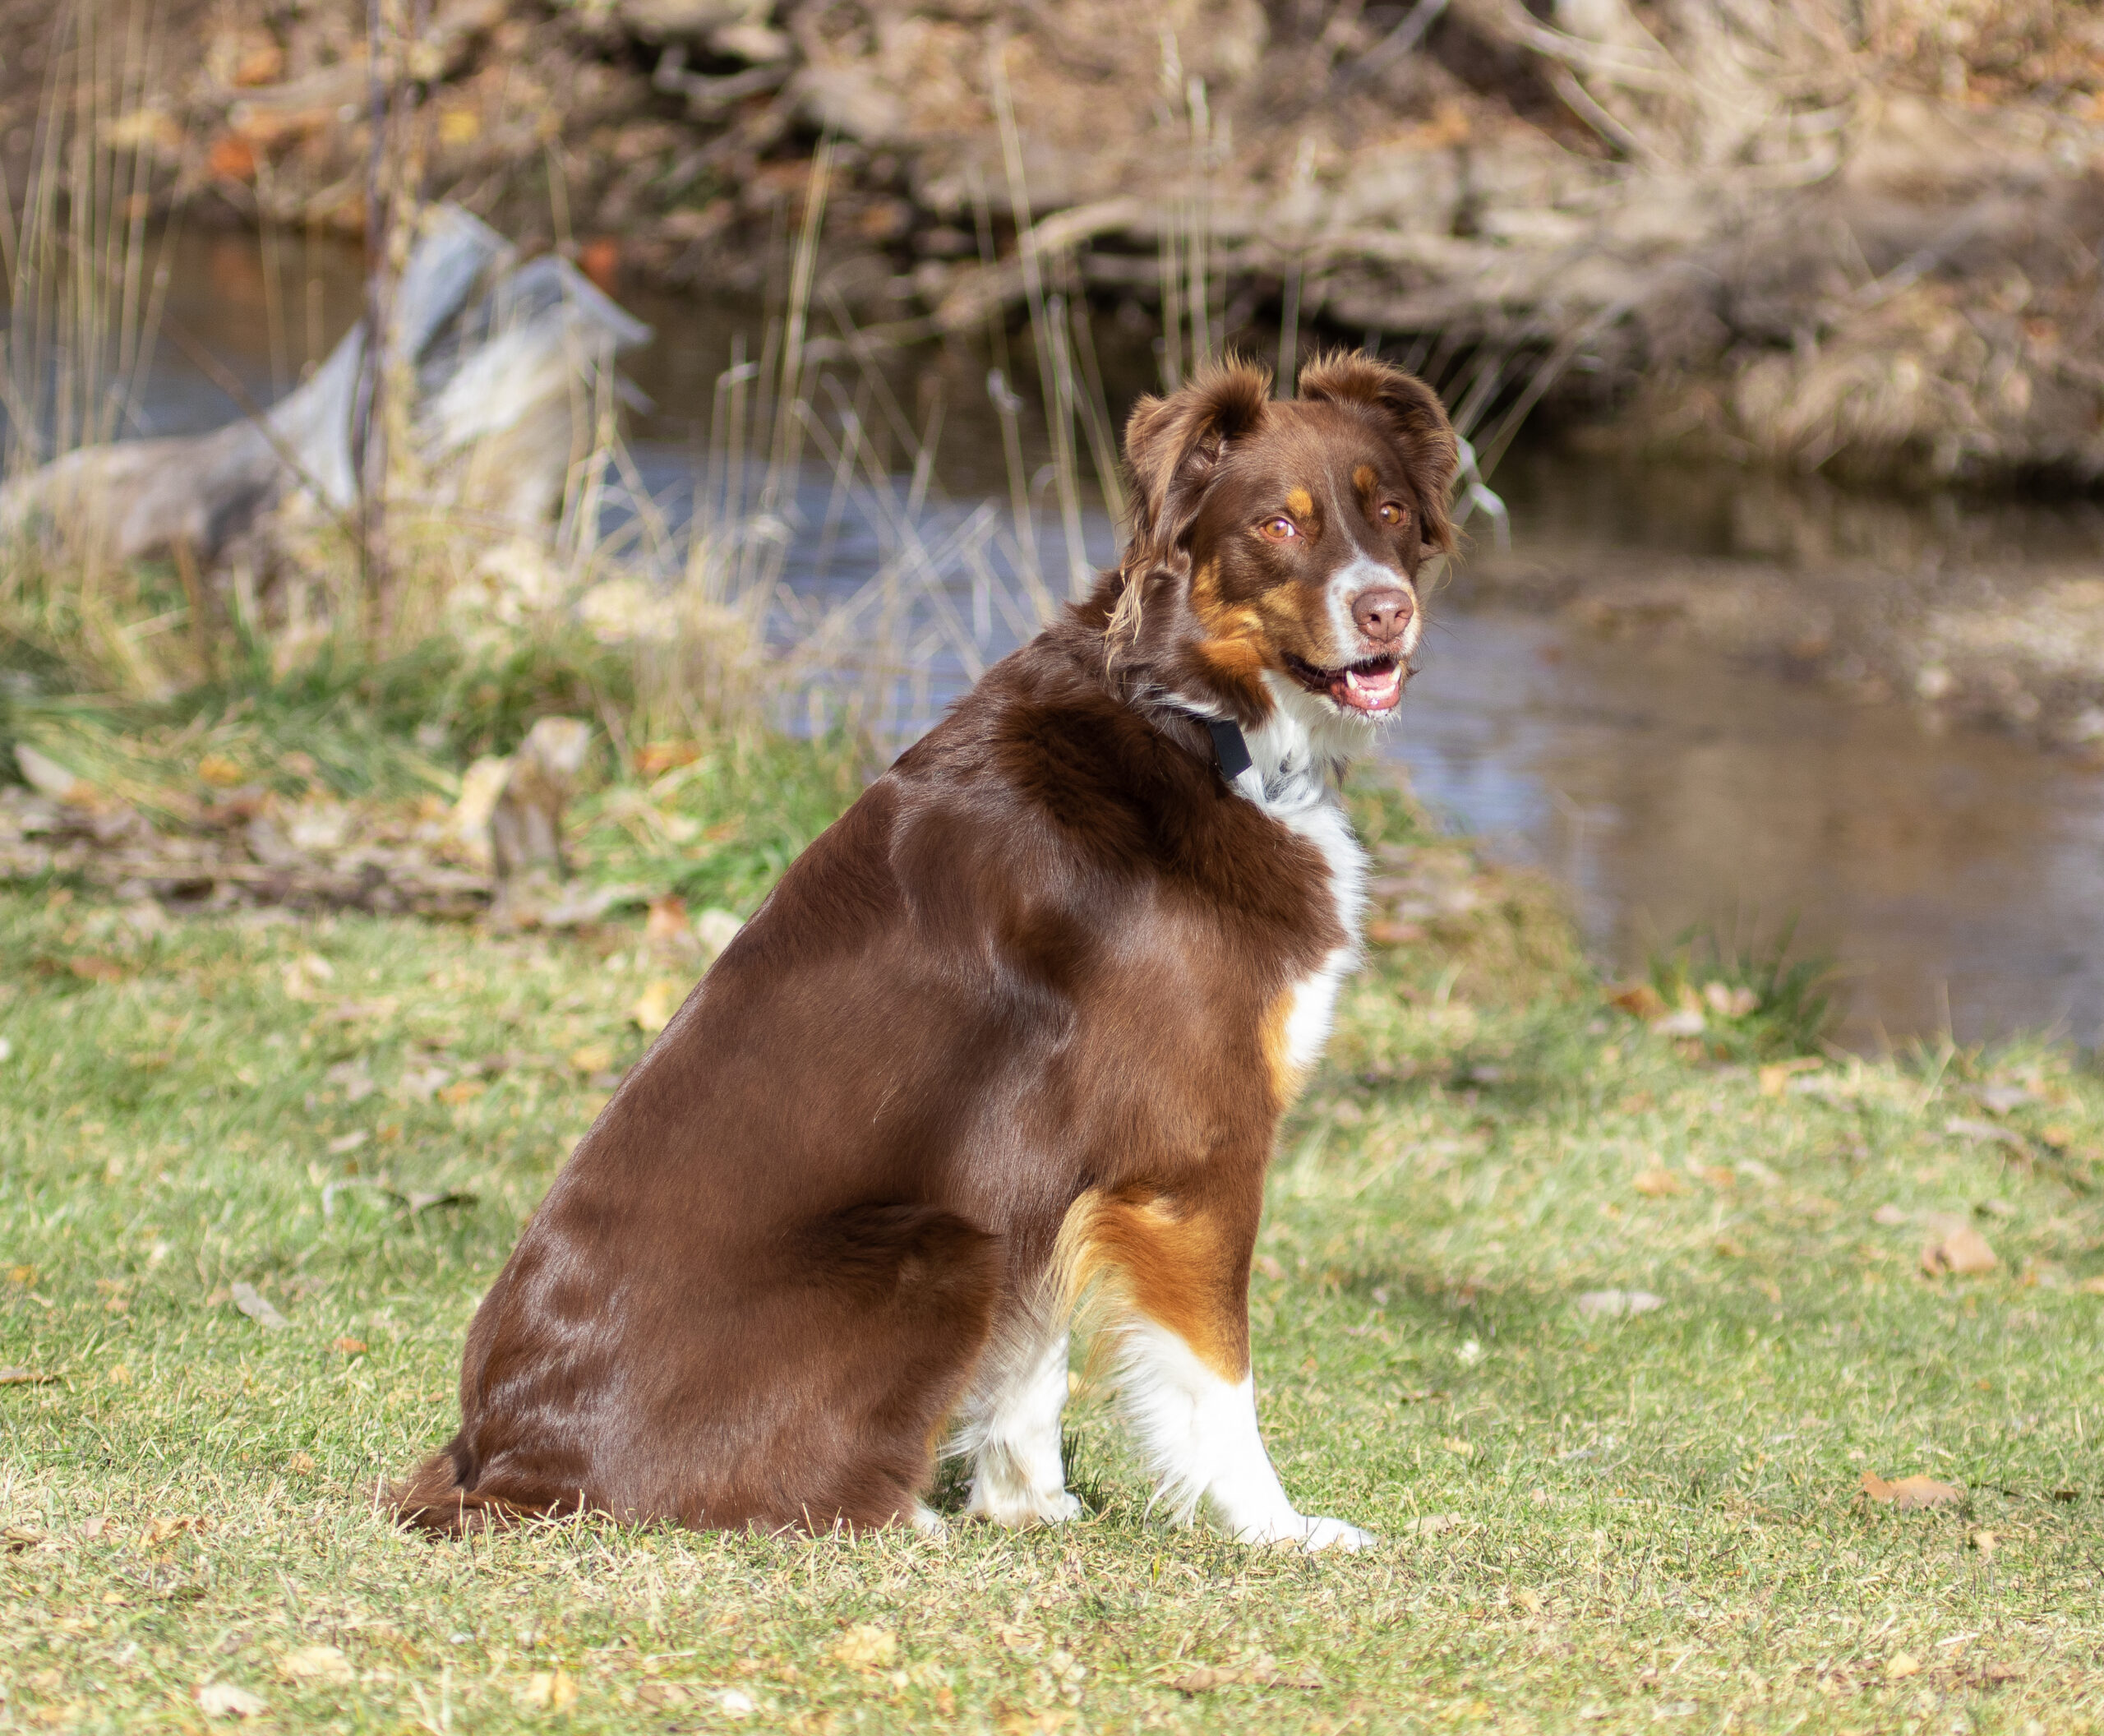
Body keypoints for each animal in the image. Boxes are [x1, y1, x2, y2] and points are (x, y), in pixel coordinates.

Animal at [391, 351, 1447, 1540]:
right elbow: (1214, 1374)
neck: (1196, 725)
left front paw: (1030, 1508)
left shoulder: (1051, 1156)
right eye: (1277, 523)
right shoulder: (1192, 1146)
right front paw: (1275, 1529)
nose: (1387, 610)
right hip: (936, 1242)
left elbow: (1033, 1353)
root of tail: (502, 1459)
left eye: (1389, 511)